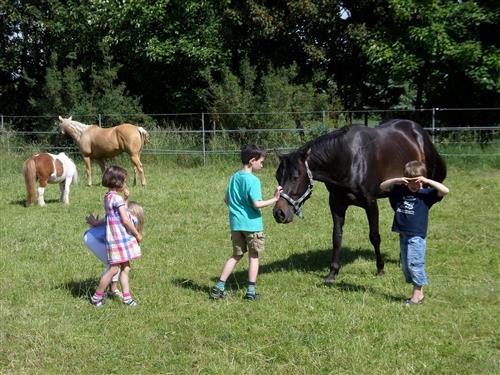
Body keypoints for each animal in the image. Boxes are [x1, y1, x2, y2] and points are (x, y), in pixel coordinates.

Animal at [272, 119, 448, 284]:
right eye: (277, 176)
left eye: (295, 177)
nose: (279, 213)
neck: (348, 159)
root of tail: (419, 132)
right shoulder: (336, 204)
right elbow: (337, 237)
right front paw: (332, 273)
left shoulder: (370, 203)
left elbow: (374, 236)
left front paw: (380, 269)